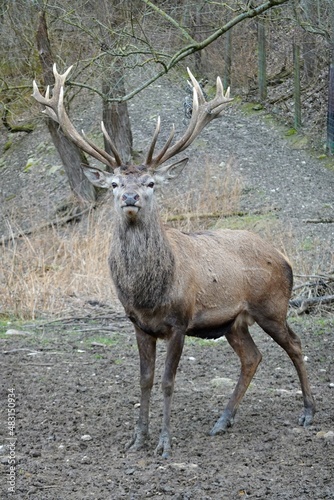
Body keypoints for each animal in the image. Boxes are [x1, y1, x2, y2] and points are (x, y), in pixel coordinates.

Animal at [32, 64, 316, 458]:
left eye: (151, 183)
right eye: (115, 184)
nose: (131, 197)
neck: (148, 292)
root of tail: (285, 258)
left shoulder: (180, 321)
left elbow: (168, 381)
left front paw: (164, 444)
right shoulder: (139, 324)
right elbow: (145, 380)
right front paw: (137, 439)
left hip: (272, 306)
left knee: (296, 344)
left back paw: (308, 411)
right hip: (233, 321)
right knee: (252, 357)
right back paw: (223, 420)